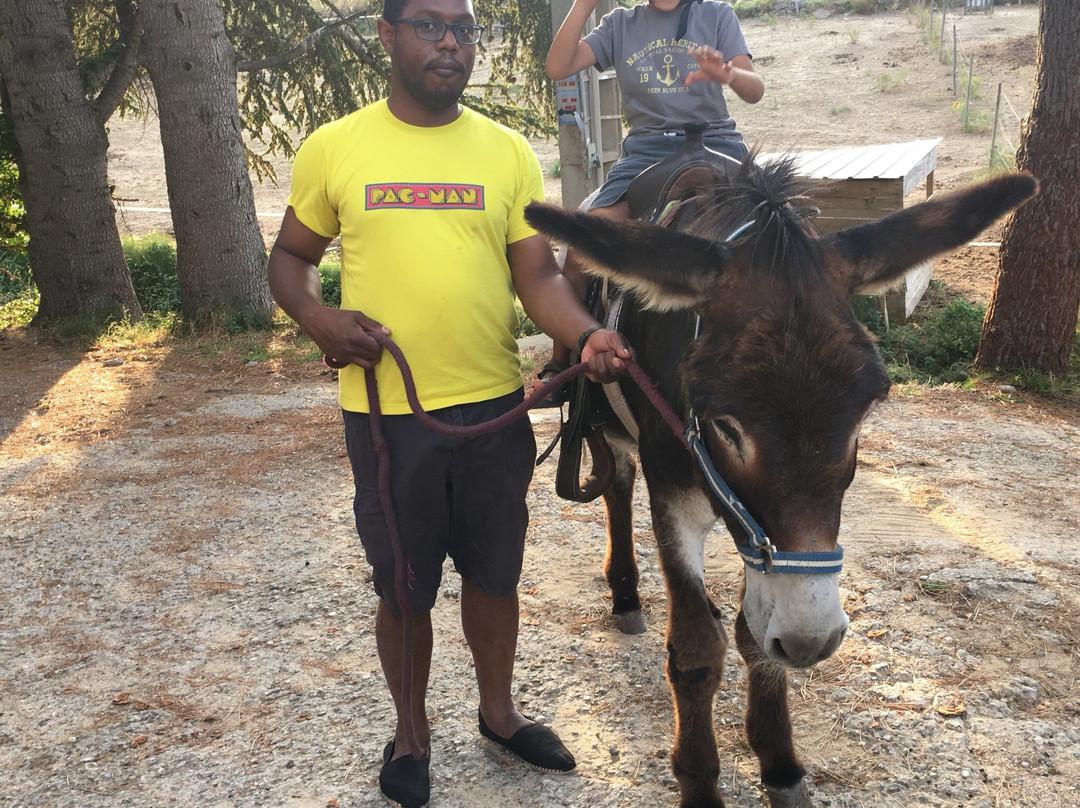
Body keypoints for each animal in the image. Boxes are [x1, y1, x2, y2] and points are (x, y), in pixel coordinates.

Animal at [524, 156, 1036, 808]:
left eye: (866, 412)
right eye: (724, 423)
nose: (811, 642)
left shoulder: (765, 548)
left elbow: (752, 635)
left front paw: (779, 762)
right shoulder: (676, 501)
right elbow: (696, 648)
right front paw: (700, 783)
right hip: (599, 412)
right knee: (616, 484)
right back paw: (626, 595)